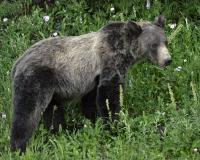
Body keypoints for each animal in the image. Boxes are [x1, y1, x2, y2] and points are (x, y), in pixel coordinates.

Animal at [10, 15, 171, 153]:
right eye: (154, 44)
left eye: (166, 41)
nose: (168, 60)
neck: (125, 51)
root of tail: (17, 63)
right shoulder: (109, 62)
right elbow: (109, 94)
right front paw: (115, 125)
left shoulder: (94, 78)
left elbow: (92, 100)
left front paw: (95, 120)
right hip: (36, 79)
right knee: (27, 112)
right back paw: (19, 147)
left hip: (53, 88)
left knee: (53, 110)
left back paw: (65, 129)